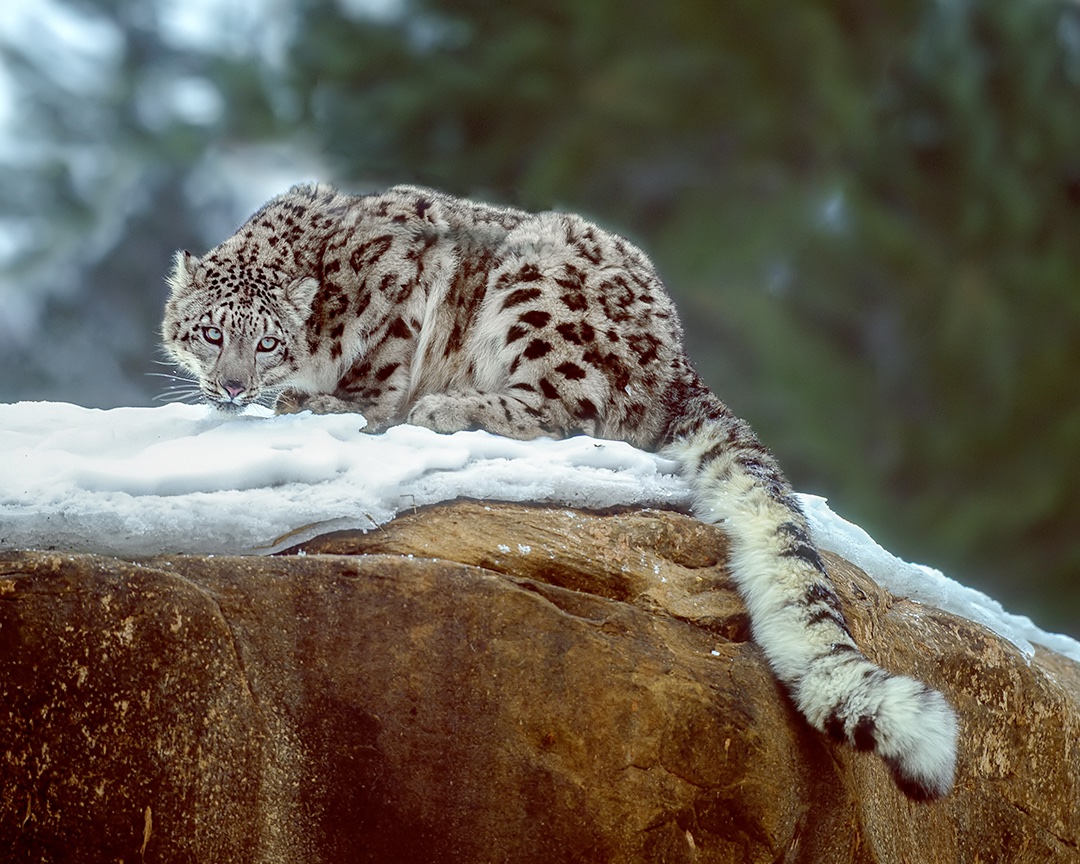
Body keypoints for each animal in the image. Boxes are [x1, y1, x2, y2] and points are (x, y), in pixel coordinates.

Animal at [157, 180, 954, 794]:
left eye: (265, 340)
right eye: (208, 332)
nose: (232, 386)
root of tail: (676, 358)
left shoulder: (400, 296)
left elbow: (376, 372)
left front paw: (328, 403)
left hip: (537, 295)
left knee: (564, 410)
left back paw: (447, 407)